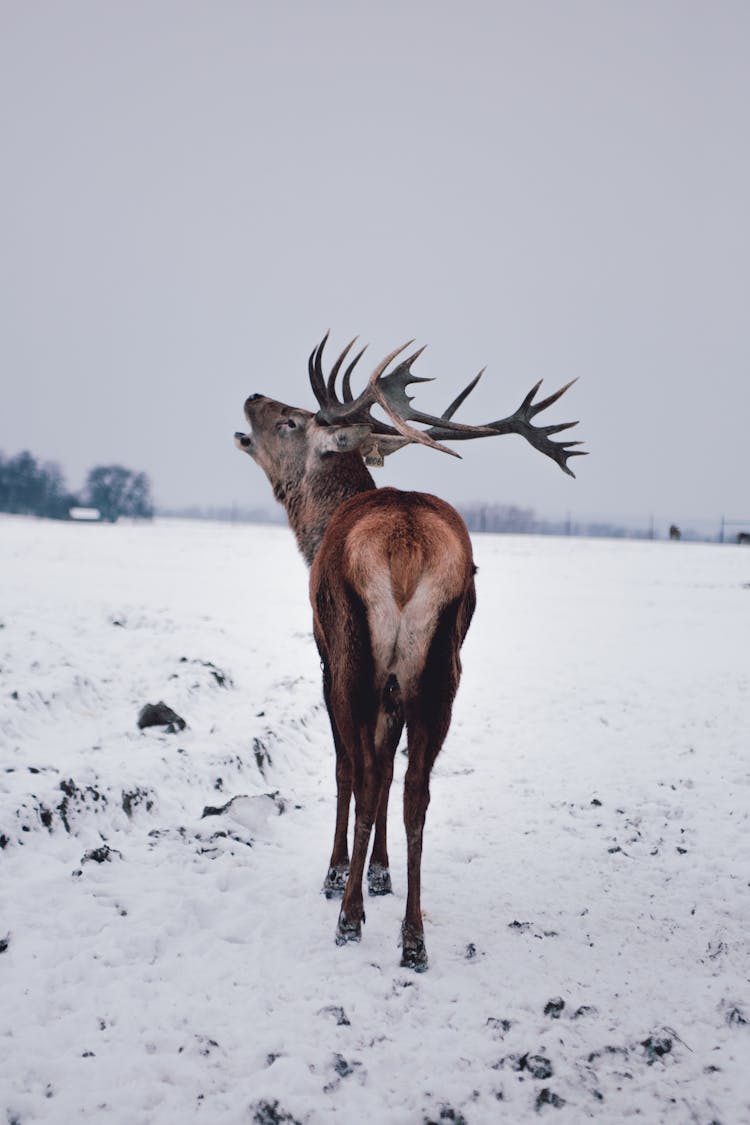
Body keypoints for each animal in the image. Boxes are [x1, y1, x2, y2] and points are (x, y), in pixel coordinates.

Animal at [235, 330, 584, 967]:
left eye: (293, 420)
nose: (252, 398)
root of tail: (406, 542)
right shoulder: (401, 687)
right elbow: (389, 773)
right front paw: (380, 872)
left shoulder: (326, 660)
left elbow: (350, 770)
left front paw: (339, 874)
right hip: (440, 667)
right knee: (416, 790)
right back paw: (413, 936)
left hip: (357, 655)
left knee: (366, 774)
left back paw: (350, 917)